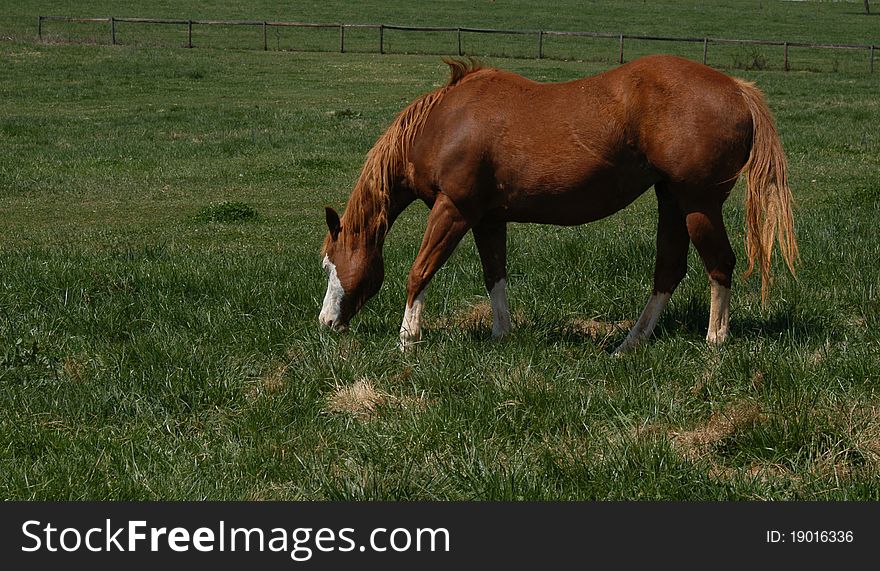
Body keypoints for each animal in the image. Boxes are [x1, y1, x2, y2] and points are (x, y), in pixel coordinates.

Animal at [316, 55, 796, 350]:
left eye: (328, 264)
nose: (325, 323)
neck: (444, 122)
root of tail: (737, 88)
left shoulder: (453, 210)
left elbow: (419, 271)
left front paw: (407, 339)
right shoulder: (487, 219)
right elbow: (495, 275)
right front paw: (502, 334)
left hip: (698, 203)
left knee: (720, 263)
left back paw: (715, 341)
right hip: (673, 201)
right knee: (669, 269)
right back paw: (629, 344)